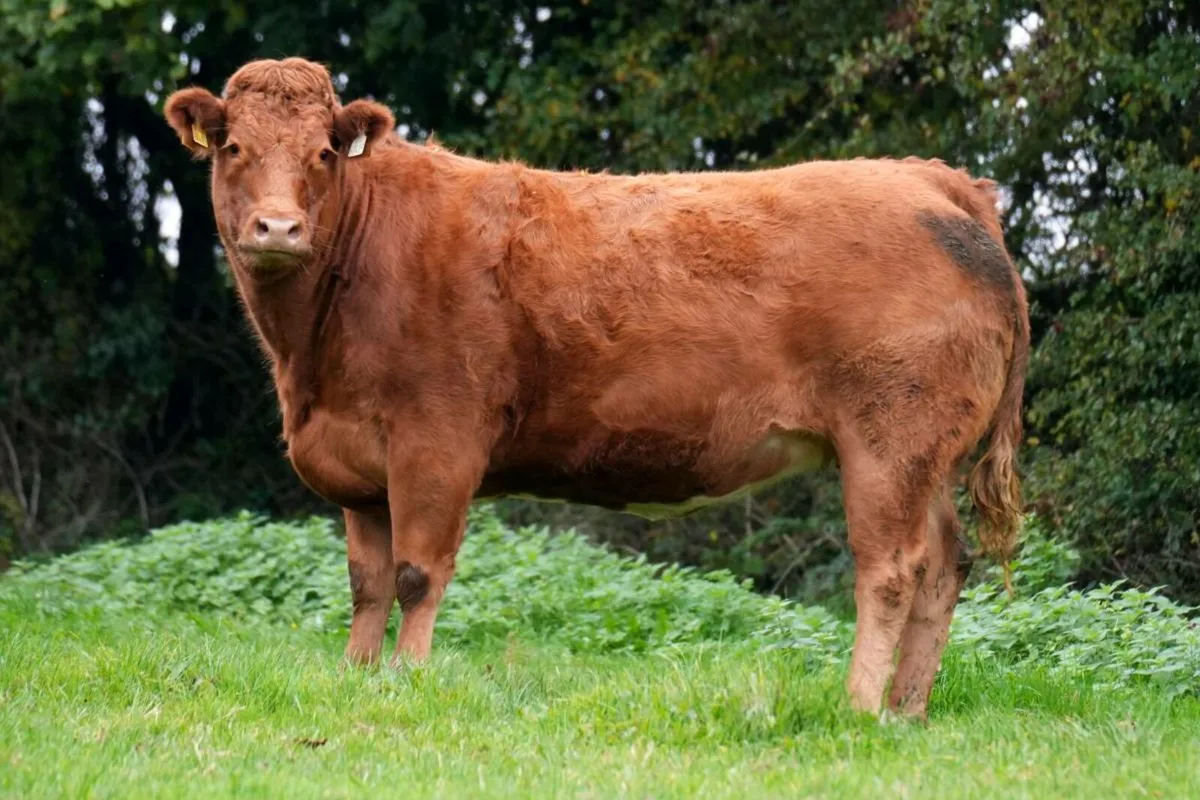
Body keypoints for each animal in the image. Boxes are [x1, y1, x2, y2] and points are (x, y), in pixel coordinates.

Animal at [164, 57, 1029, 719]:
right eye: (232, 147)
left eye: (322, 154)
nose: (278, 228)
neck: (311, 357)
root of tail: (930, 178)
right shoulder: (357, 462)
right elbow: (365, 584)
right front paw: (357, 677)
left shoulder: (435, 443)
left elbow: (416, 573)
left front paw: (408, 681)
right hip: (928, 455)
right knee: (946, 564)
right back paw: (907, 710)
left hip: (890, 440)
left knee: (891, 568)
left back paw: (857, 705)